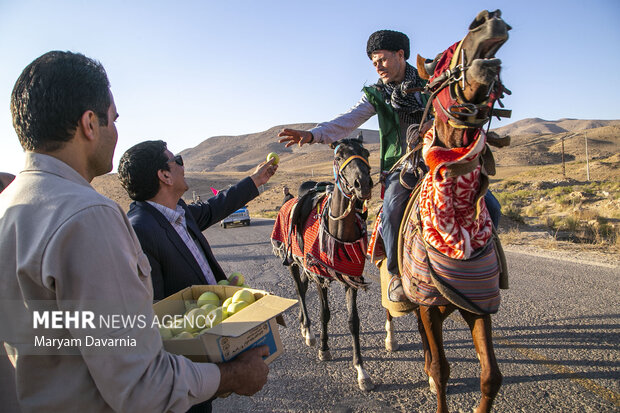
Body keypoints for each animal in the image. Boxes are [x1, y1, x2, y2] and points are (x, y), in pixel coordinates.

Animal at [270, 138, 372, 390]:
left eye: (366, 152)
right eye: (338, 156)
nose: (363, 184)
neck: (339, 232)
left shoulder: (351, 280)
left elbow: (353, 321)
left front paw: (361, 370)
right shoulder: (320, 277)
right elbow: (325, 313)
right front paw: (324, 349)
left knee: (303, 288)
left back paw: (304, 325)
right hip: (293, 263)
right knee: (300, 291)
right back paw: (308, 331)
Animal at [370, 8, 512, 412]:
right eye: (436, 68)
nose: (488, 19)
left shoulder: (477, 305)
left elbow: (491, 376)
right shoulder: (428, 306)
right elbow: (441, 369)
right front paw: (434, 379)